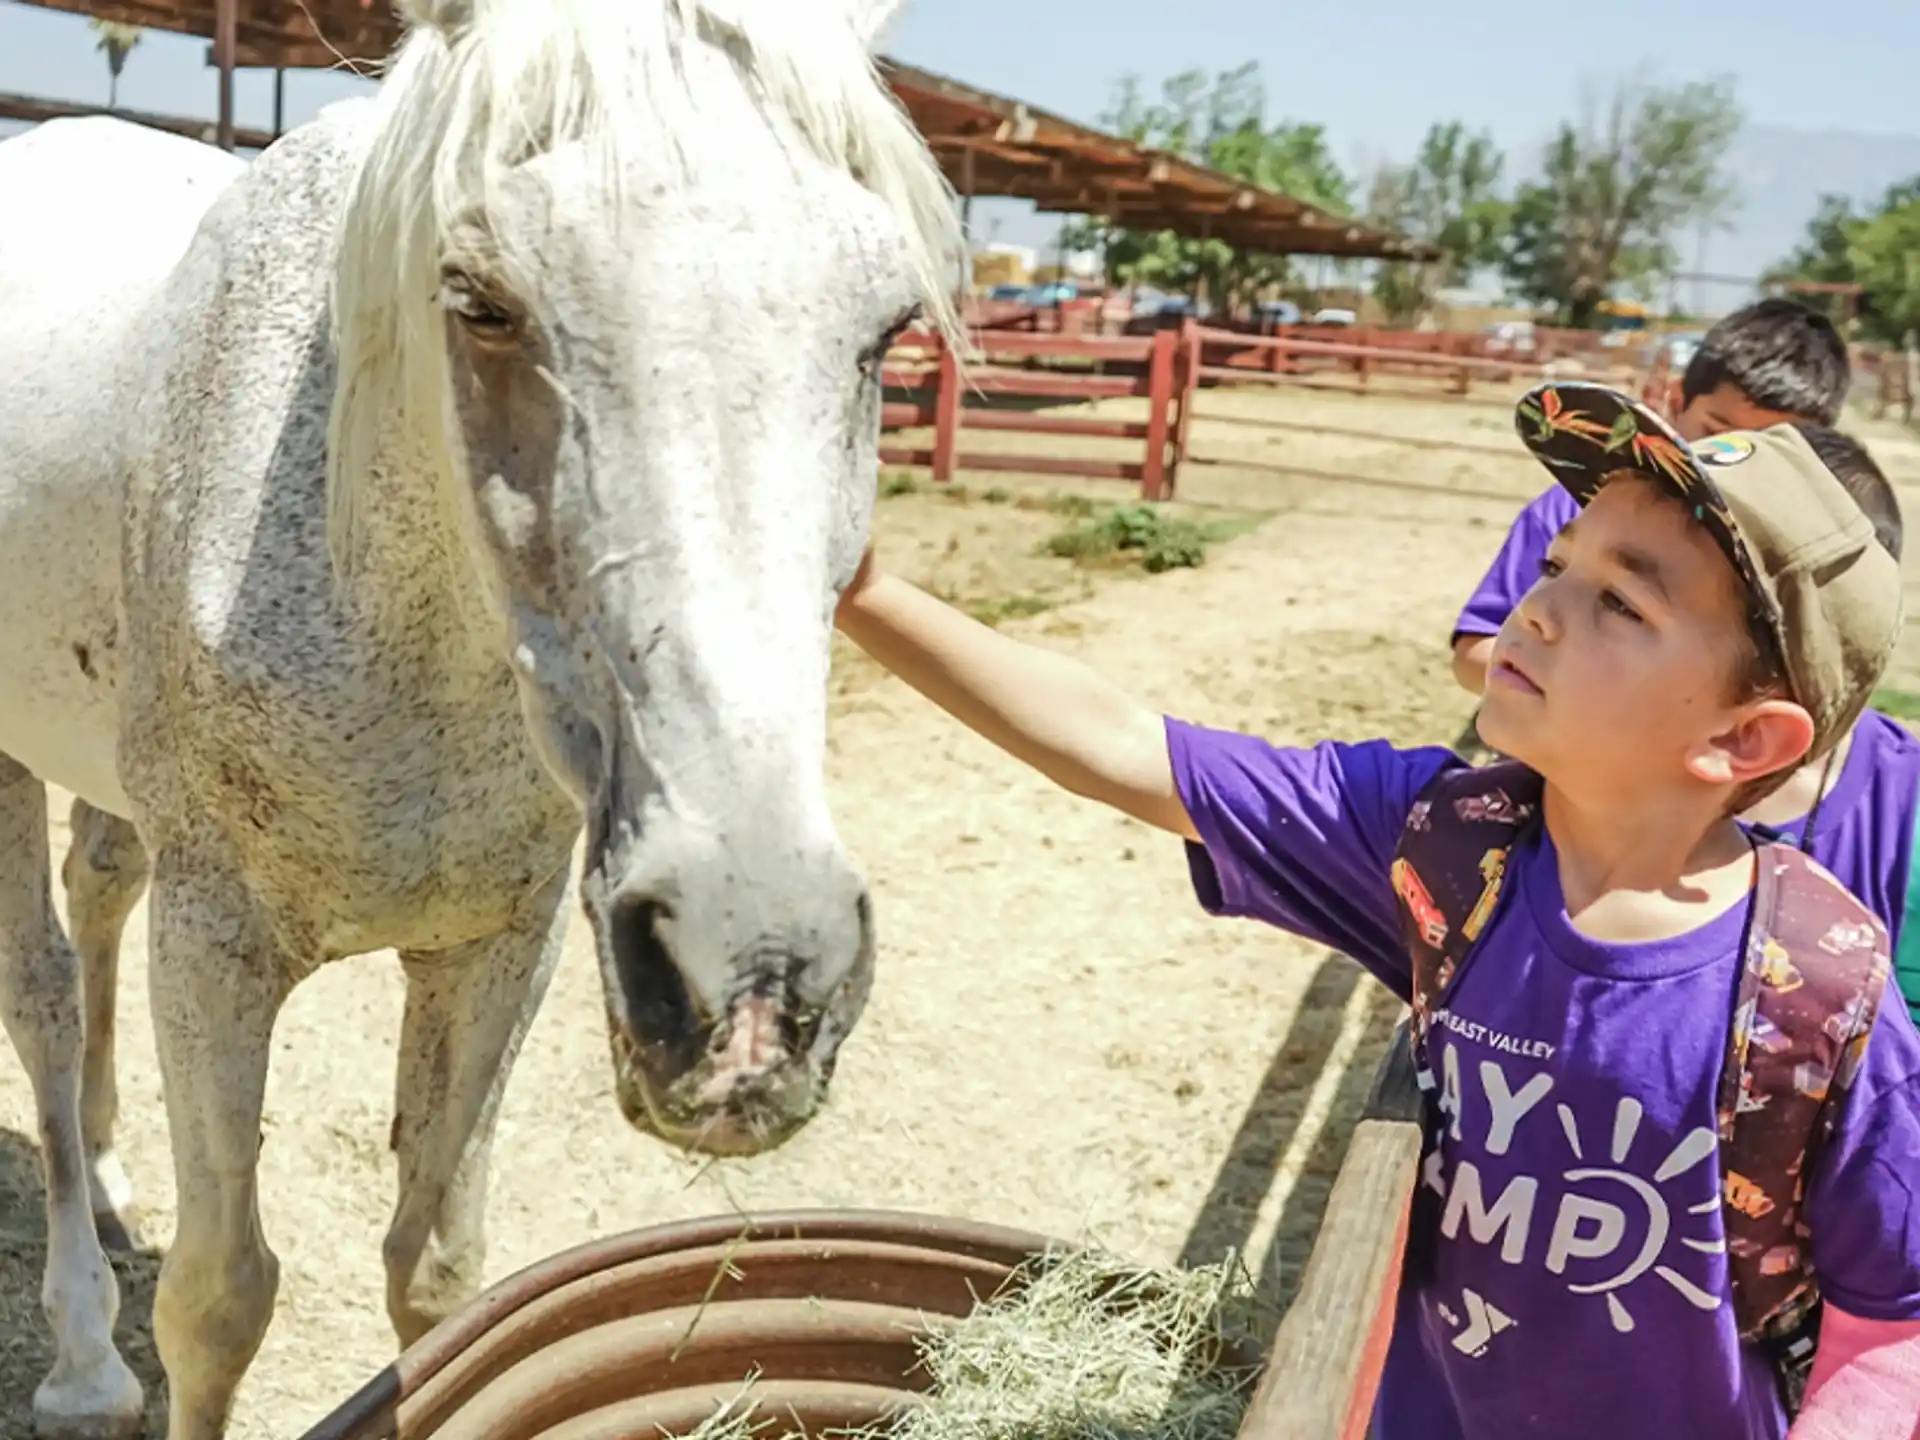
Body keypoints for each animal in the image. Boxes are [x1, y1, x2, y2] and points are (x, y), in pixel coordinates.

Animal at [0, 0, 961, 1432]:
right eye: (483, 303)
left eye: (888, 328)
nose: (751, 979)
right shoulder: (214, 944)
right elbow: (218, 1300)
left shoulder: (502, 942)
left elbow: (440, 1276)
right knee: (44, 996)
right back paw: (80, 1347)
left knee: (97, 893)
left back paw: (117, 1185)